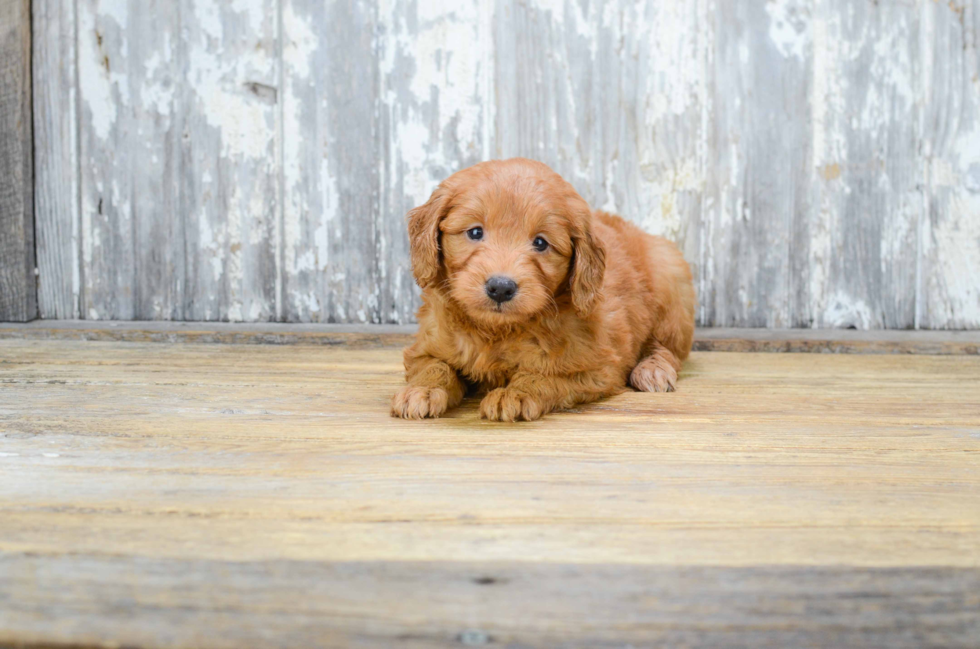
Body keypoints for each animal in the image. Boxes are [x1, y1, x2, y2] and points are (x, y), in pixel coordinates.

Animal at [390, 157, 696, 420]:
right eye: (475, 232)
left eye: (540, 243)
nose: (500, 288)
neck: (497, 331)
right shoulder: (425, 346)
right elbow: (434, 365)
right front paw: (421, 390)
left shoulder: (598, 368)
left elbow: (544, 375)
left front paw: (514, 394)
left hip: (672, 282)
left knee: (667, 348)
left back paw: (653, 370)